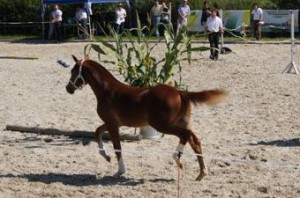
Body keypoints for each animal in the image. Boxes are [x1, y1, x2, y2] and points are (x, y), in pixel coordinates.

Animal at [65, 55, 225, 180]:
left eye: (74, 71)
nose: (68, 88)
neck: (108, 91)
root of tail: (179, 92)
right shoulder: (113, 123)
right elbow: (97, 132)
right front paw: (106, 156)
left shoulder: (112, 124)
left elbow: (117, 147)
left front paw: (120, 171)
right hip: (181, 123)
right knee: (195, 141)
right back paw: (202, 173)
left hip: (162, 124)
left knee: (185, 136)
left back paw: (178, 159)